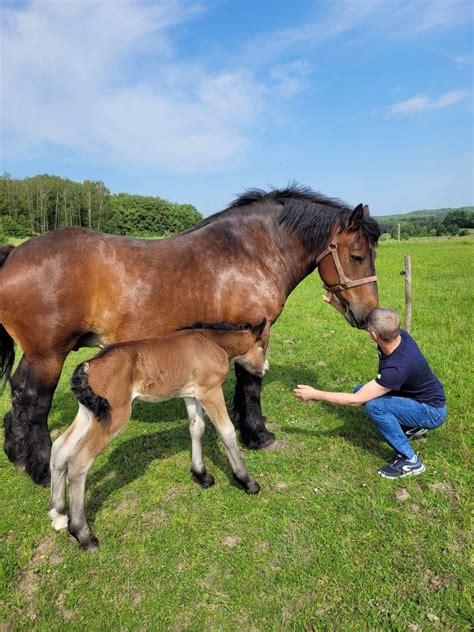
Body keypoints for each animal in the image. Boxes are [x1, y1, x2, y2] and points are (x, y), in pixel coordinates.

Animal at [0, 185, 380, 486]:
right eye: (357, 255)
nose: (368, 315)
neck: (250, 251)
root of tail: (15, 252)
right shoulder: (256, 332)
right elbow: (251, 385)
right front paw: (258, 435)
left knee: (18, 393)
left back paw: (17, 453)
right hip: (49, 355)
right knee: (34, 400)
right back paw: (42, 470)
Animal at [50, 320, 270, 548]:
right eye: (263, 347)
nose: (265, 369)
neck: (212, 342)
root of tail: (89, 365)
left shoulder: (191, 395)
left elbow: (196, 428)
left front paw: (201, 475)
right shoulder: (209, 392)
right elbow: (226, 432)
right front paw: (247, 481)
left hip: (89, 414)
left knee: (60, 447)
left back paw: (59, 515)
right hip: (115, 416)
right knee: (79, 461)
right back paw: (83, 534)